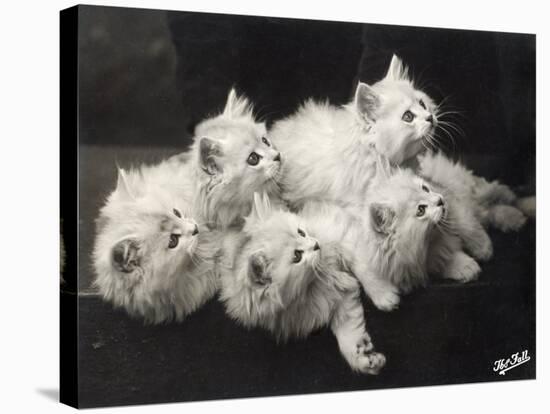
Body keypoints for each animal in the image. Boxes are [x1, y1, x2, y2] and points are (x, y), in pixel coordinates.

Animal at [220, 192, 388, 374]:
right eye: (297, 256)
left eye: (301, 232)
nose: (316, 244)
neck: (312, 283)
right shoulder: (335, 298)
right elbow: (349, 334)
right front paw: (363, 358)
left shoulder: (341, 231)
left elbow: (364, 266)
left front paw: (385, 296)